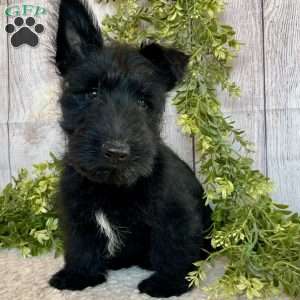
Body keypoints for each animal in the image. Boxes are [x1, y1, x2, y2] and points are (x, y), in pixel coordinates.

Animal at [49, 0, 212, 296]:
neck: (112, 185)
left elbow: (174, 247)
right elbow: (81, 244)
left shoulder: (175, 215)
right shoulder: (78, 212)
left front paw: (168, 282)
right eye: (92, 93)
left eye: (143, 102)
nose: (117, 152)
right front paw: (79, 275)